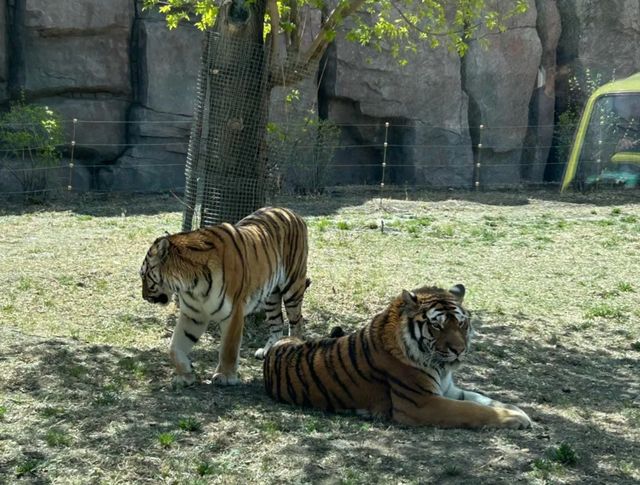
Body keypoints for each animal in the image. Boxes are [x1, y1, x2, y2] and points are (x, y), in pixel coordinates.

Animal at [141, 207, 310, 386]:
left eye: (144, 275)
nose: (144, 297)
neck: (191, 286)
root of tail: (291, 212)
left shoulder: (233, 312)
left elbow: (228, 348)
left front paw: (225, 376)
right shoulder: (193, 315)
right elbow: (174, 347)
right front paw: (185, 375)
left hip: (293, 287)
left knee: (296, 320)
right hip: (271, 296)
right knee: (277, 322)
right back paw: (267, 350)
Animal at [262, 284, 532, 428]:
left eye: (462, 324)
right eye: (437, 326)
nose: (459, 349)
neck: (440, 367)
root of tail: (276, 346)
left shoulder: (447, 389)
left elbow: (481, 399)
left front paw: (515, 408)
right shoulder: (421, 403)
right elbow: (472, 410)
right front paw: (515, 418)